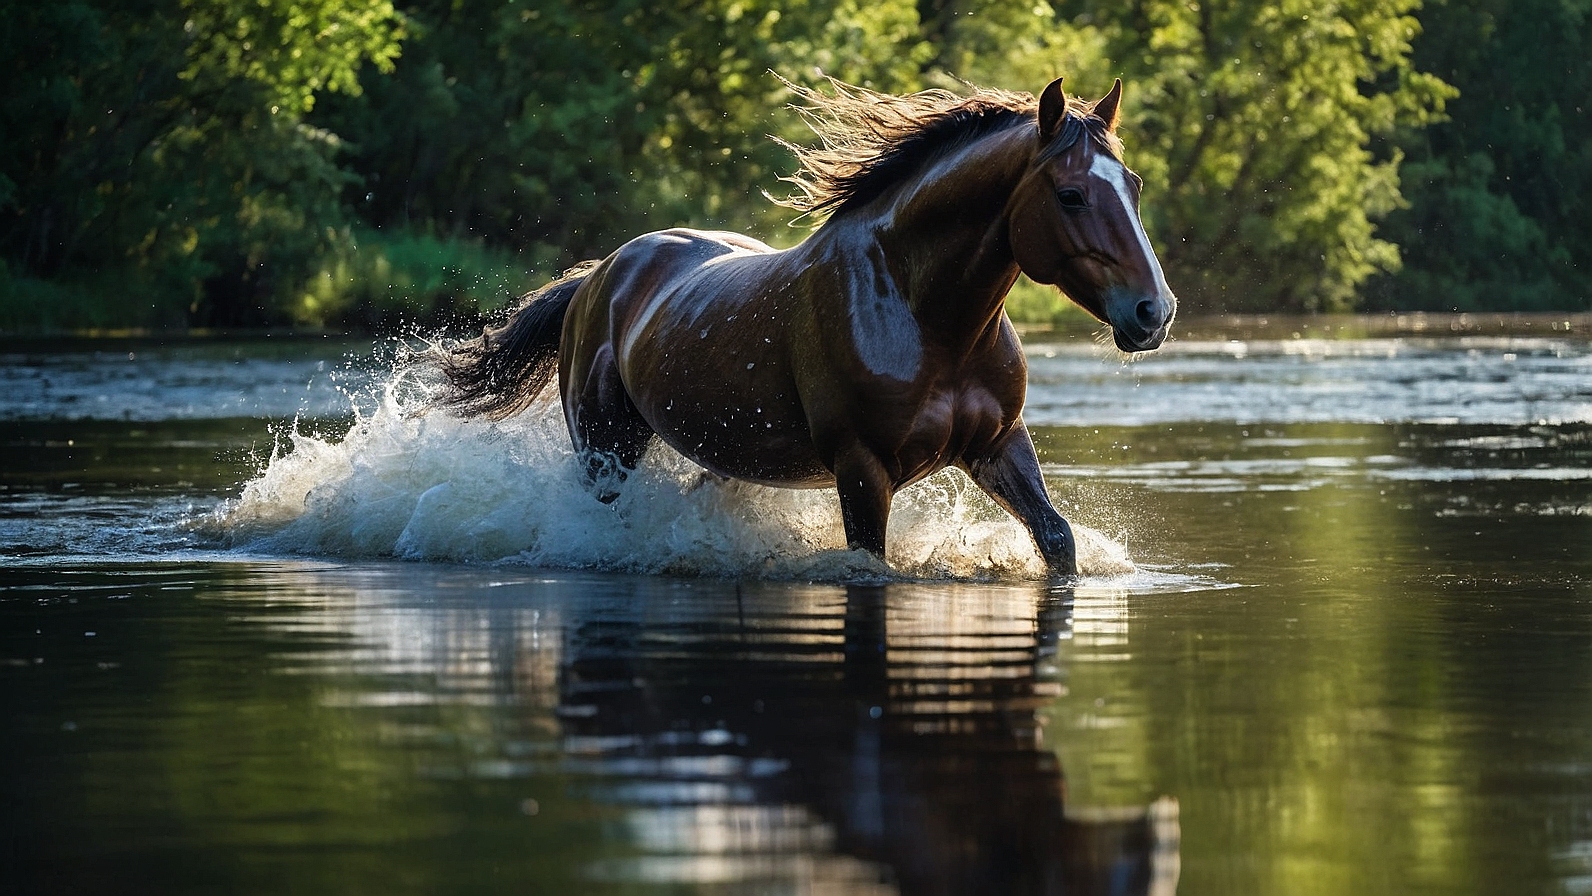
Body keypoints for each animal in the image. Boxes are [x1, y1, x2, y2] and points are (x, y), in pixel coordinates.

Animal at [435, 76, 1176, 577]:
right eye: (1071, 195)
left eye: (1134, 186)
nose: (1154, 312)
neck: (924, 318)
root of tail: (598, 276)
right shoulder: (862, 467)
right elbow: (869, 559)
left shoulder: (998, 445)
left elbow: (1056, 539)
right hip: (604, 447)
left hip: (726, 458)